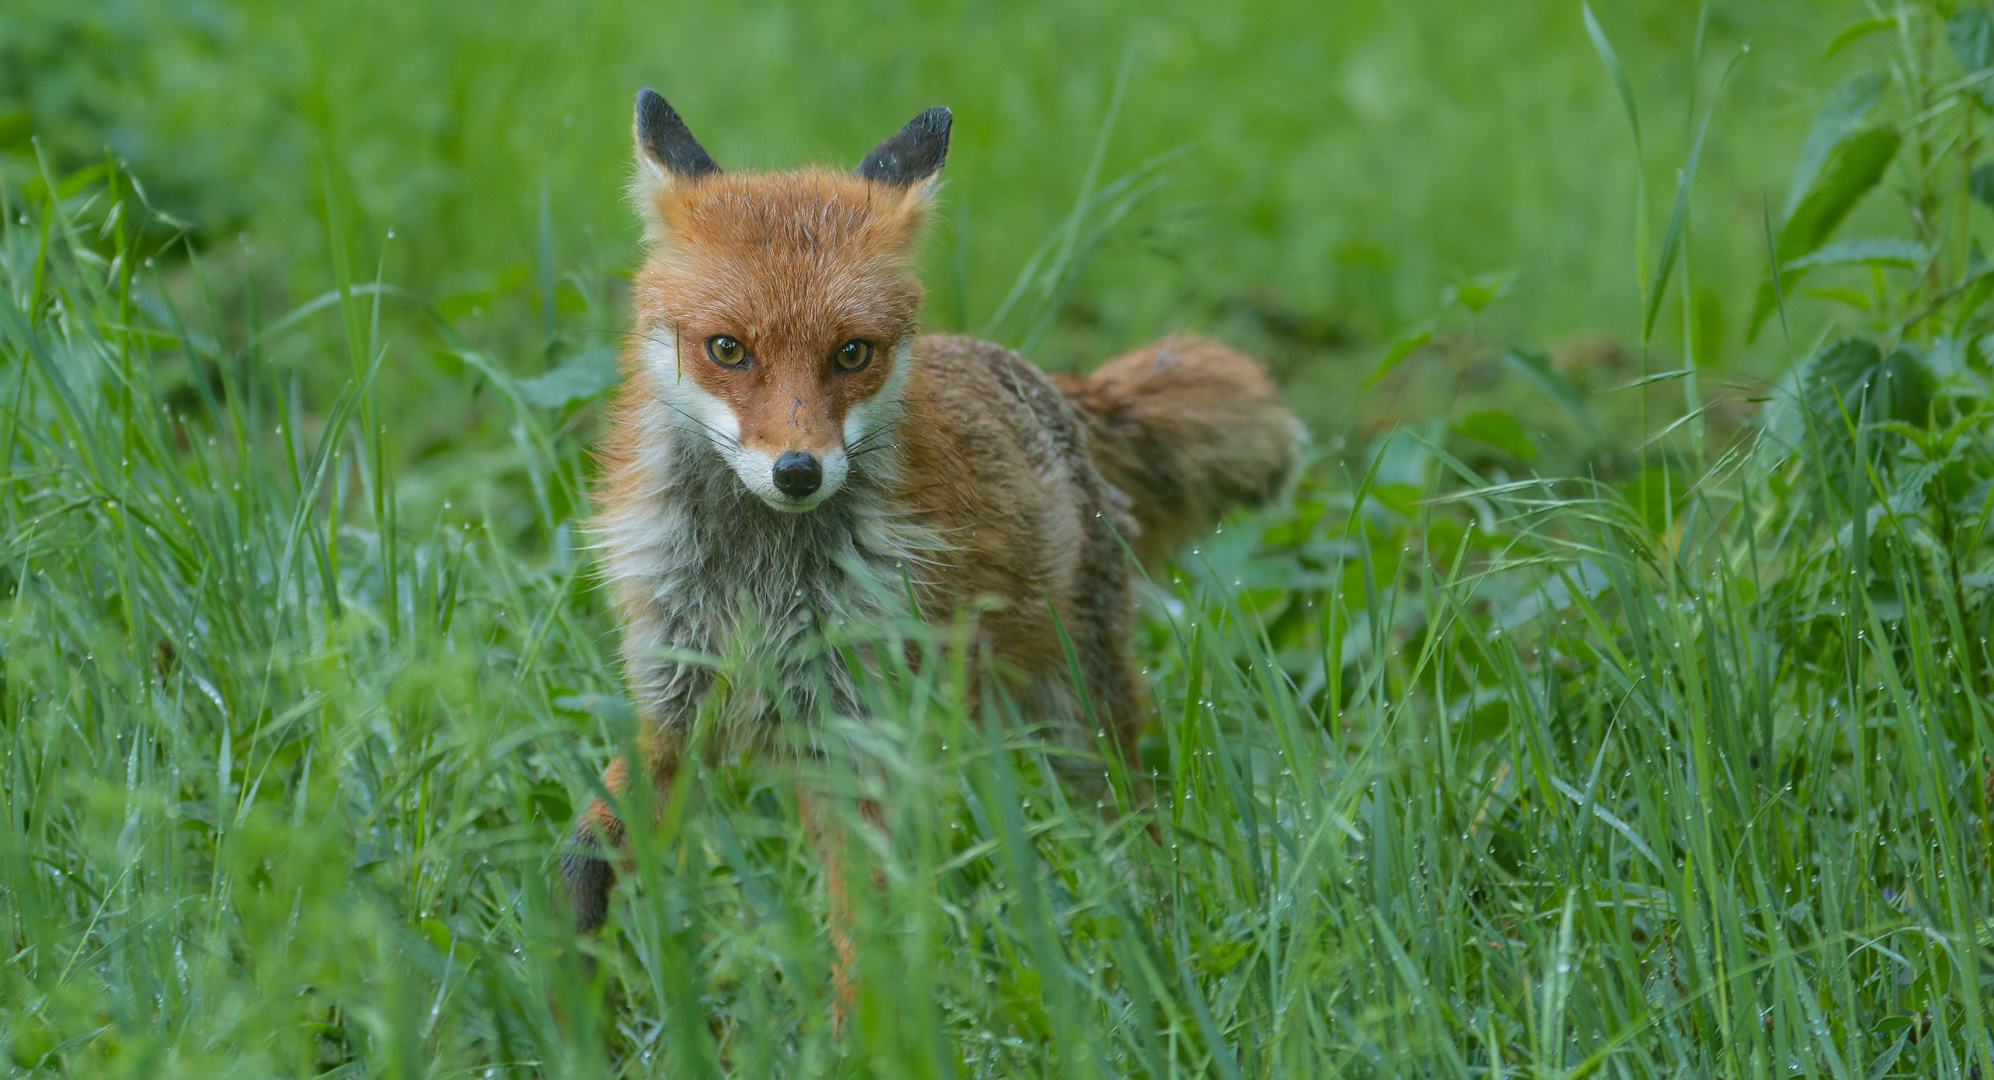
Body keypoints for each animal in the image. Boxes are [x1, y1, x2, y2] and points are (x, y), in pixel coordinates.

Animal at [566, 88, 1308, 940]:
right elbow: (589, 842)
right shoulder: (677, 700)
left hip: (1073, 723)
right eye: (727, 349)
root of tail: (1043, 380)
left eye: (853, 354)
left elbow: (863, 931)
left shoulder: (857, 730)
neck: (759, 574)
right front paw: (568, 948)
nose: (798, 472)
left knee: (1133, 819)